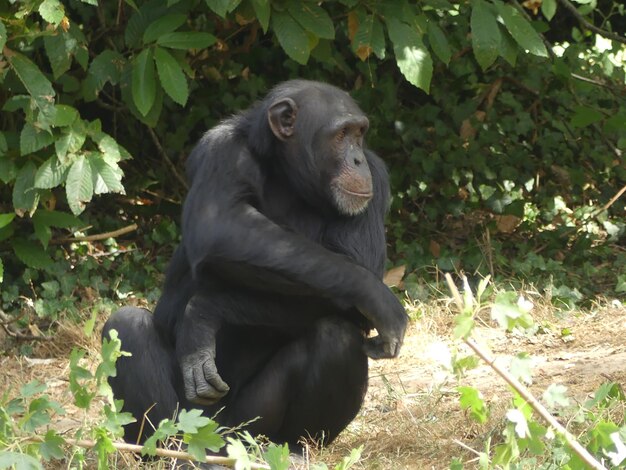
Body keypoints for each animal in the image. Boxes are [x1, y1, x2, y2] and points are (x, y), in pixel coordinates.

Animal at [102, 80, 408, 448]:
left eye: (359, 133)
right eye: (341, 134)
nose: (358, 158)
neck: (288, 177)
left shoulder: (377, 179)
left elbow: (353, 302)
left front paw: (202, 313)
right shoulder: (219, 151)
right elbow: (218, 224)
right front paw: (375, 294)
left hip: (246, 427)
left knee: (337, 336)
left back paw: (295, 448)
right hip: (193, 421)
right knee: (127, 326)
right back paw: (168, 447)